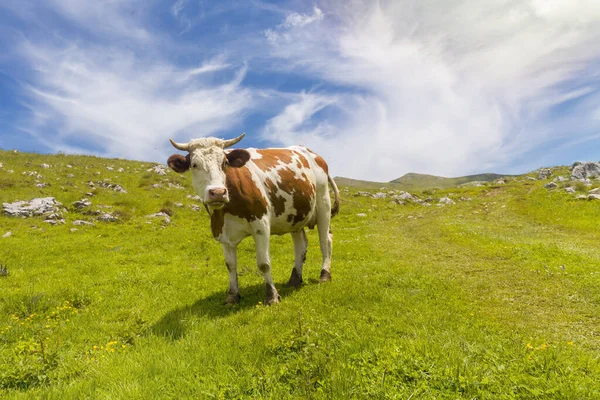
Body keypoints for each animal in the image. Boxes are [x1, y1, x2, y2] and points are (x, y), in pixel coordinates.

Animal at [166, 133, 340, 304]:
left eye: (224, 162)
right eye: (194, 164)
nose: (218, 192)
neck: (226, 210)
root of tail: (308, 151)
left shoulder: (261, 225)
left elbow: (263, 263)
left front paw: (272, 296)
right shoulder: (222, 231)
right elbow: (230, 265)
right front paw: (232, 296)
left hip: (323, 203)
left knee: (325, 240)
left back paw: (324, 275)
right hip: (295, 216)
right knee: (300, 245)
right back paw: (295, 279)